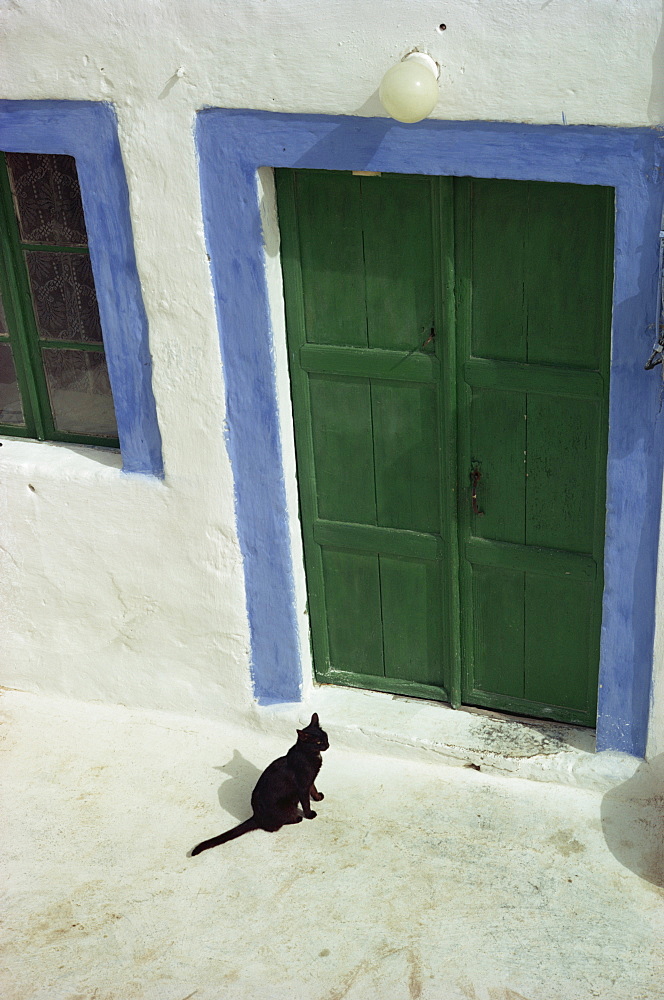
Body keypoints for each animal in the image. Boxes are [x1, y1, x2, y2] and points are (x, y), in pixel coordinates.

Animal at [191, 712, 328, 860]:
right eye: (318, 742)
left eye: (325, 736)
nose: (327, 744)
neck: (309, 755)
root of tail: (256, 817)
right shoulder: (303, 786)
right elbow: (306, 802)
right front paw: (310, 815)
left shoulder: (310, 780)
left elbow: (313, 789)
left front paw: (318, 797)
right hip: (288, 806)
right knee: (274, 827)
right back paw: (297, 818)